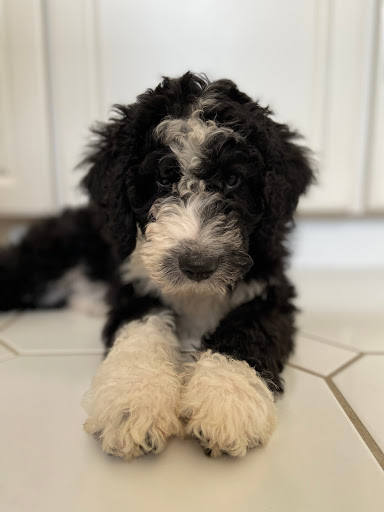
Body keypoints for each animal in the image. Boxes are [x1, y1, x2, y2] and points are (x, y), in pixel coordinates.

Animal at [0, 71, 314, 456]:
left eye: (232, 180)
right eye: (164, 179)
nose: (197, 265)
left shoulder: (270, 291)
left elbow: (249, 332)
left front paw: (226, 399)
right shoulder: (134, 287)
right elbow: (141, 330)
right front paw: (132, 401)